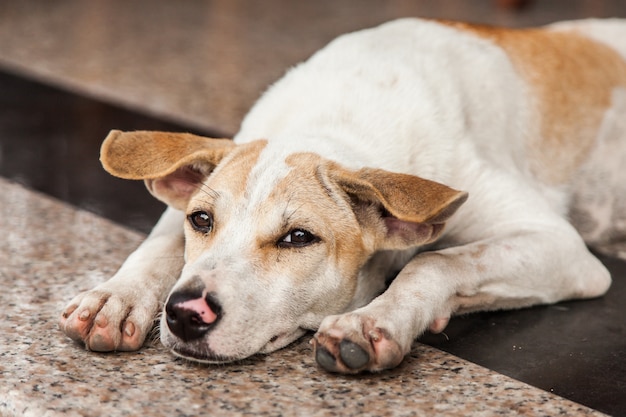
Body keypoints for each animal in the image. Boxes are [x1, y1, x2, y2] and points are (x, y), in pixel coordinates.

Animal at [59, 17, 624, 372]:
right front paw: (115, 298)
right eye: (201, 221)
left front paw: (372, 322)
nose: (184, 313)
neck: (336, 118)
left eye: (298, 238)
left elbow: (434, 262)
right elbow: (159, 245)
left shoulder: (560, 247)